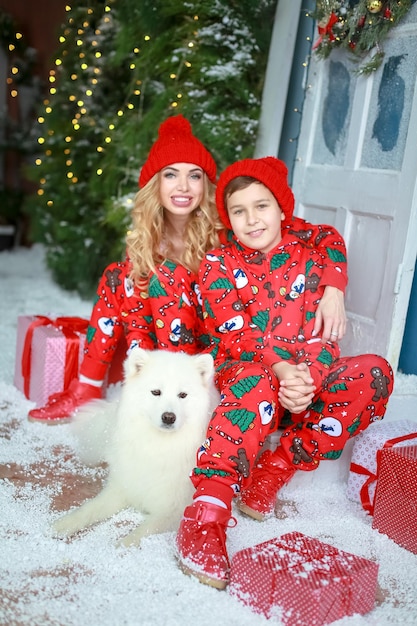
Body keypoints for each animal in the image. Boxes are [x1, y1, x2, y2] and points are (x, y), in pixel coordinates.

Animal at [52, 348, 218, 544]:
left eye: (182, 395)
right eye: (156, 392)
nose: (168, 417)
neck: (157, 446)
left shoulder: (172, 510)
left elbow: (141, 532)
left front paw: (122, 545)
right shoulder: (121, 489)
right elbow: (89, 509)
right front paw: (64, 524)